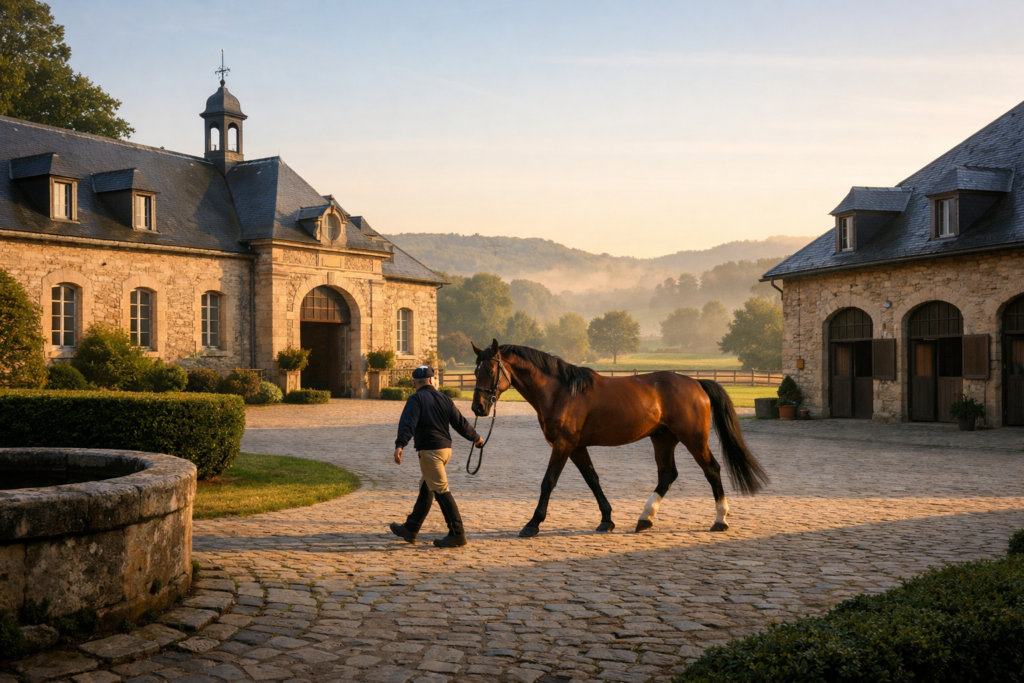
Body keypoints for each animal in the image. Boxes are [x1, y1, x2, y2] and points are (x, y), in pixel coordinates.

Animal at [470, 340, 769, 537]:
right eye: (475, 371)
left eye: (490, 370)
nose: (478, 408)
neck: (561, 391)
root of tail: (696, 383)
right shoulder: (576, 447)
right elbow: (592, 480)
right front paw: (607, 520)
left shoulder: (564, 445)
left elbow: (548, 482)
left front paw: (532, 524)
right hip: (663, 440)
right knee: (667, 475)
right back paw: (644, 519)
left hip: (693, 439)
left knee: (712, 470)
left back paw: (720, 520)